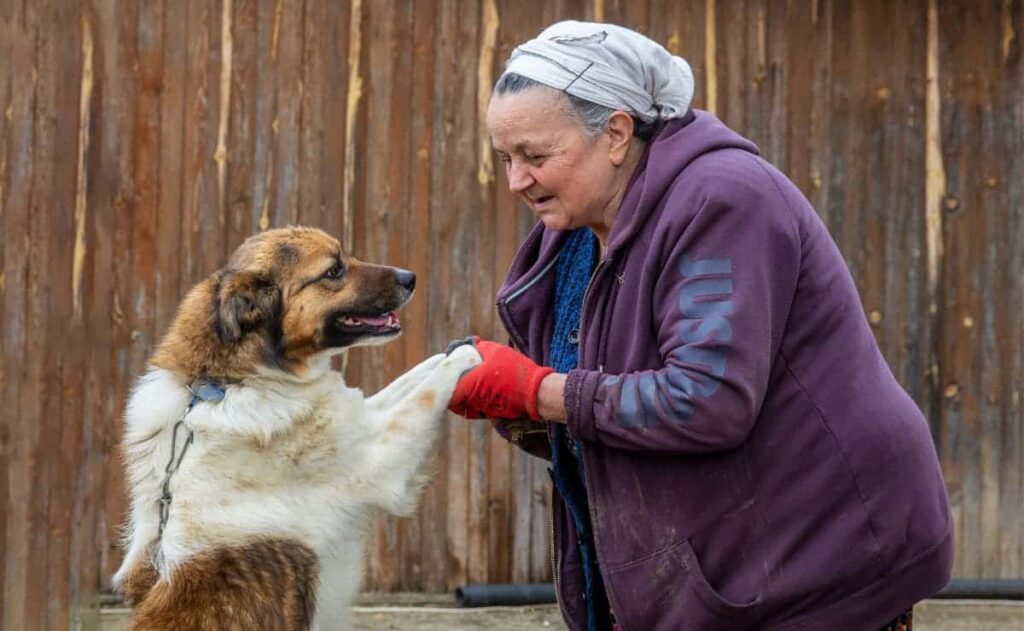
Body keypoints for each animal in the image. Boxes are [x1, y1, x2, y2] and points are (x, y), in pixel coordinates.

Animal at [114, 226, 481, 631]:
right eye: (334, 270)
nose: (410, 278)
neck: (225, 383)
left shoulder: (360, 418)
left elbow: (414, 377)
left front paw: (454, 349)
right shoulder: (381, 457)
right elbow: (429, 390)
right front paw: (470, 356)